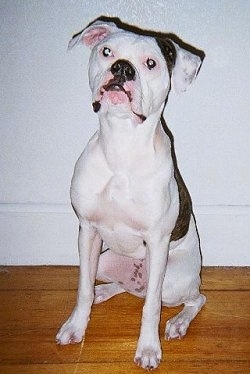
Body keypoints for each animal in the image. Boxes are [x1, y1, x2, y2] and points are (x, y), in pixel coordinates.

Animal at [57, 16, 207, 368]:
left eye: (151, 63)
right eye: (106, 51)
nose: (122, 68)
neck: (122, 144)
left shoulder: (157, 240)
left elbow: (151, 307)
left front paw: (149, 349)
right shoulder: (88, 232)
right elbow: (82, 288)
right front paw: (75, 326)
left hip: (172, 279)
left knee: (193, 298)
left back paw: (179, 322)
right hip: (107, 261)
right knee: (124, 288)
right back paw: (104, 292)